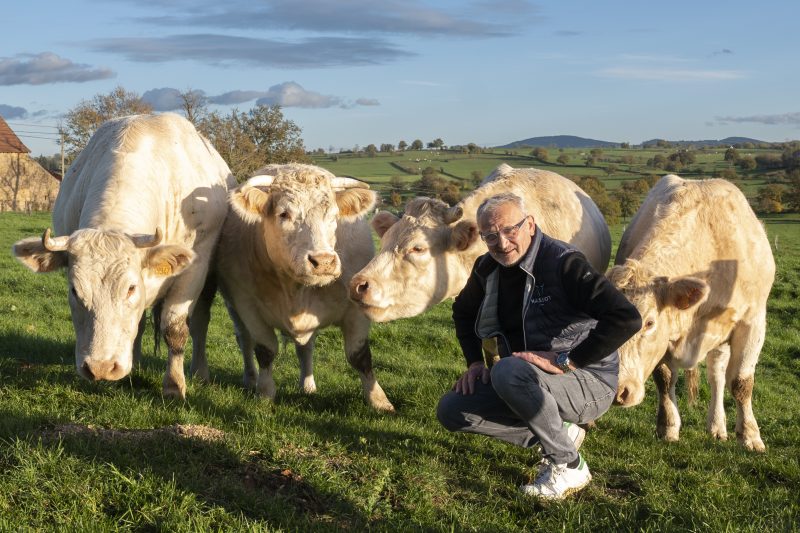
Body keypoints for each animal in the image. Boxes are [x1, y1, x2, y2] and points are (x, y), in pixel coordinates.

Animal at [12, 112, 234, 396]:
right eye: (74, 291)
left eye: (130, 288)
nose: (101, 367)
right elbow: (138, 324)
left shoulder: (195, 268)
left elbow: (175, 328)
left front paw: (174, 385)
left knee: (199, 322)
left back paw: (199, 372)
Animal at [194, 162, 394, 412]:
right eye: (284, 214)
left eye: (333, 215)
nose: (323, 261)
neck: (296, 289)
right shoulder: (248, 305)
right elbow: (265, 350)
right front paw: (265, 394)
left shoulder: (356, 308)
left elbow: (359, 355)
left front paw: (379, 401)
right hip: (234, 307)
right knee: (245, 340)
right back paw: (250, 379)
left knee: (305, 347)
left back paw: (307, 385)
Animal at [608, 175, 776, 448]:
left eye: (649, 323)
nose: (617, 391)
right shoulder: (665, 341)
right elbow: (665, 379)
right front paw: (668, 426)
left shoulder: (752, 322)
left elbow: (741, 382)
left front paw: (750, 435)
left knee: (718, 376)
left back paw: (717, 426)